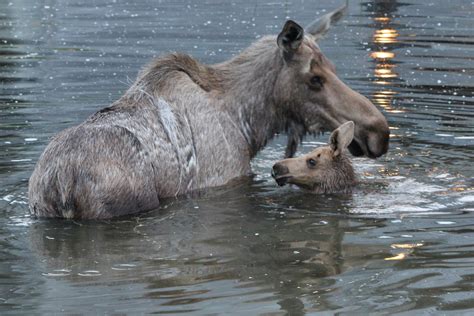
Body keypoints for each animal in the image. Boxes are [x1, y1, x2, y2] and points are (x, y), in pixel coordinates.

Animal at [27, 3, 388, 218]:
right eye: (315, 78)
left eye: (333, 68)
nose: (379, 130)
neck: (249, 125)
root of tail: (59, 183)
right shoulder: (226, 177)